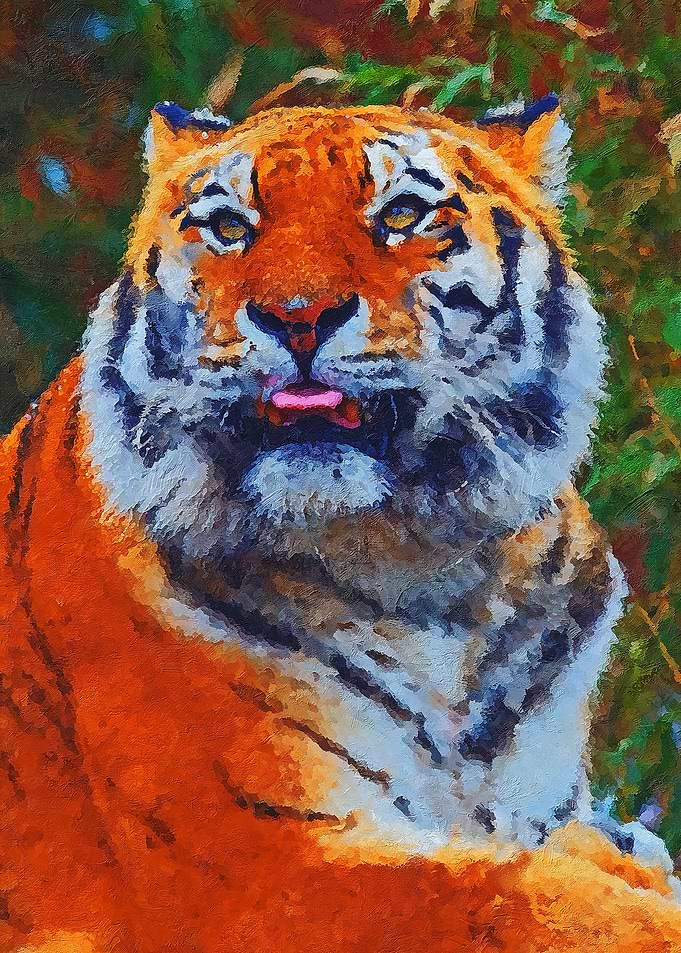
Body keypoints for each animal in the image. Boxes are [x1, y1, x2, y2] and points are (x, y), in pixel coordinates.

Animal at [1, 97, 680, 953]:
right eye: (229, 226)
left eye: (401, 215)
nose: (297, 317)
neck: (422, 568)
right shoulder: (273, 865)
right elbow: (527, 898)